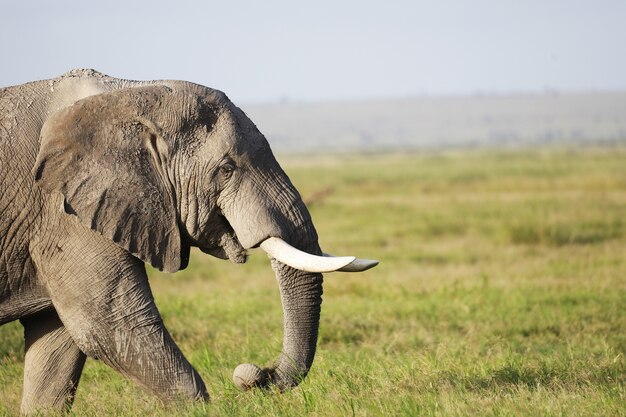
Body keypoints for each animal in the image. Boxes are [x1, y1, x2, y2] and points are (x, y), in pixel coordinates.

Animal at [0, 70, 376, 414]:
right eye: (226, 169)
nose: (255, 375)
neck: (129, 94)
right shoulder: (62, 213)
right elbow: (109, 328)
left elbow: (58, 347)